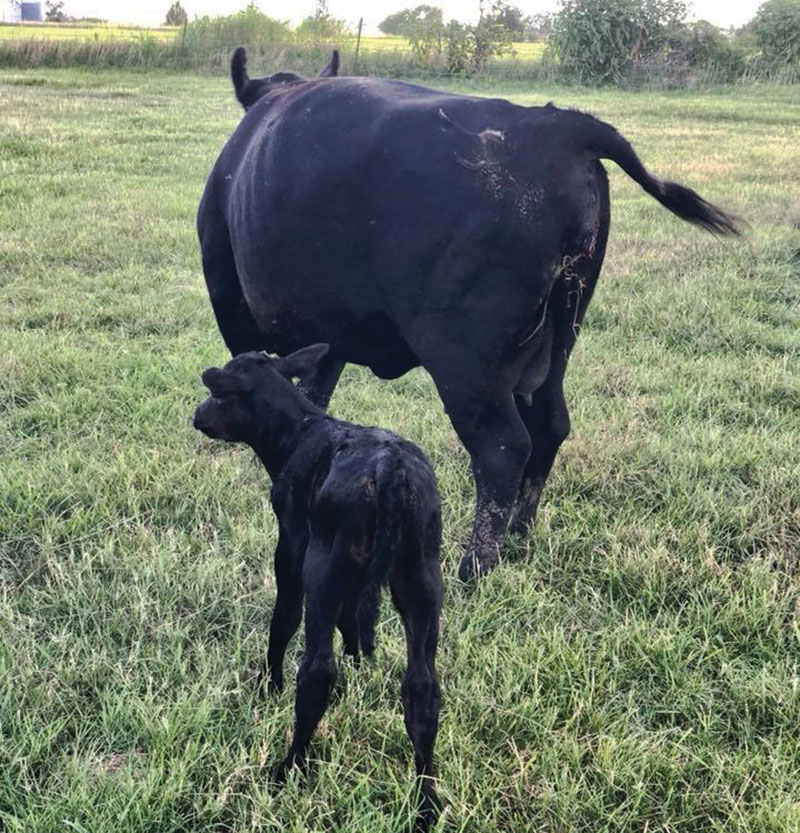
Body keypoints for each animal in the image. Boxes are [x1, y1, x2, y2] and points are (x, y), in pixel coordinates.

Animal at [194, 346, 444, 832]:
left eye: (218, 395)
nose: (197, 414)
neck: (298, 432)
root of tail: (390, 473)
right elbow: (355, 617)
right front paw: (360, 659)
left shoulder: (293, 544)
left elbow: (284, 616)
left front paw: (268, 684)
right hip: (421, 572)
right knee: (423, 687)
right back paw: (426, 801)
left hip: (325, 565)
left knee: (316, 672)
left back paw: (287, 768)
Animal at [198, 47, 736, 580]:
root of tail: (558, 128)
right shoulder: (330, 331)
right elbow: (315, 389)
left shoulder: (234, 303)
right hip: (555, 342)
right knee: (550, 425)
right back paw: (518, 532)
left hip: (468, 361)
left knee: (502, 448)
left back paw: (475, 565)